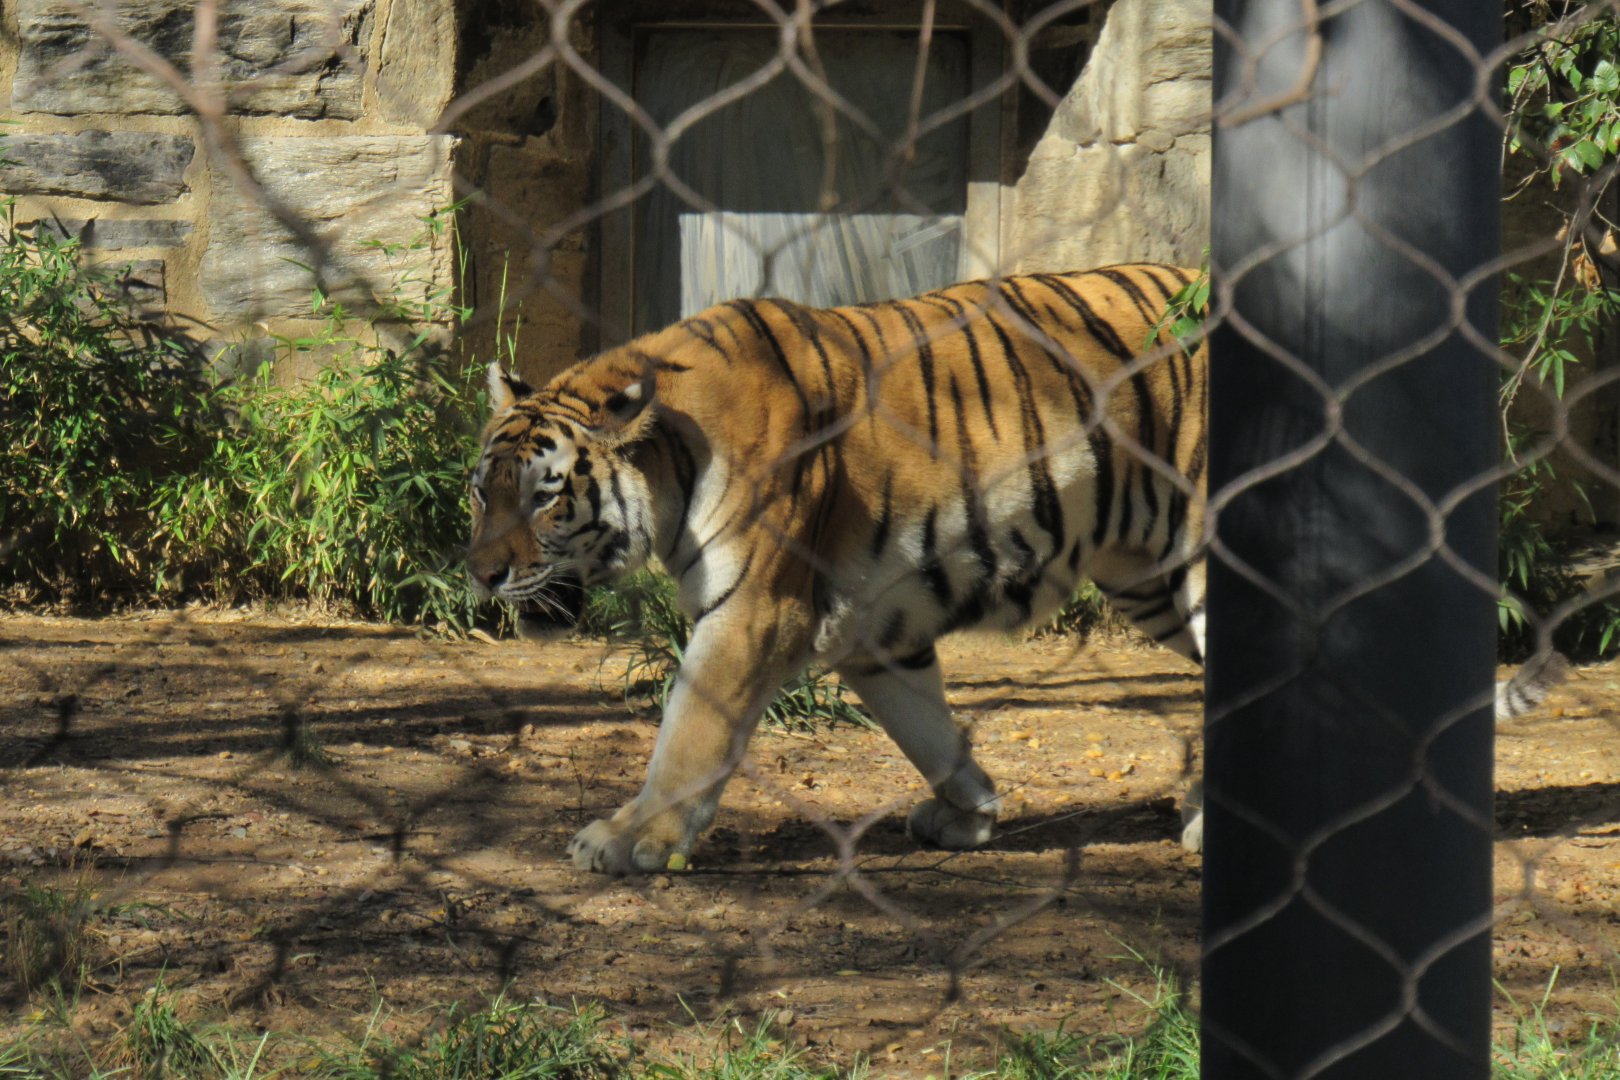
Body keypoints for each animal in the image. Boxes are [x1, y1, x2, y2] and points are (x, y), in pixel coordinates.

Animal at [465, 264, 1564, 874]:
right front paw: (970, 812)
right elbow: (926, 728)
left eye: (546, 497)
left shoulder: (754, 612)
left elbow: (690, 733)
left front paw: (629, 839)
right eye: (482, 491)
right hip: (1152, 580)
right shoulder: (875, 629)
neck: (670, 457)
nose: (477, 576)